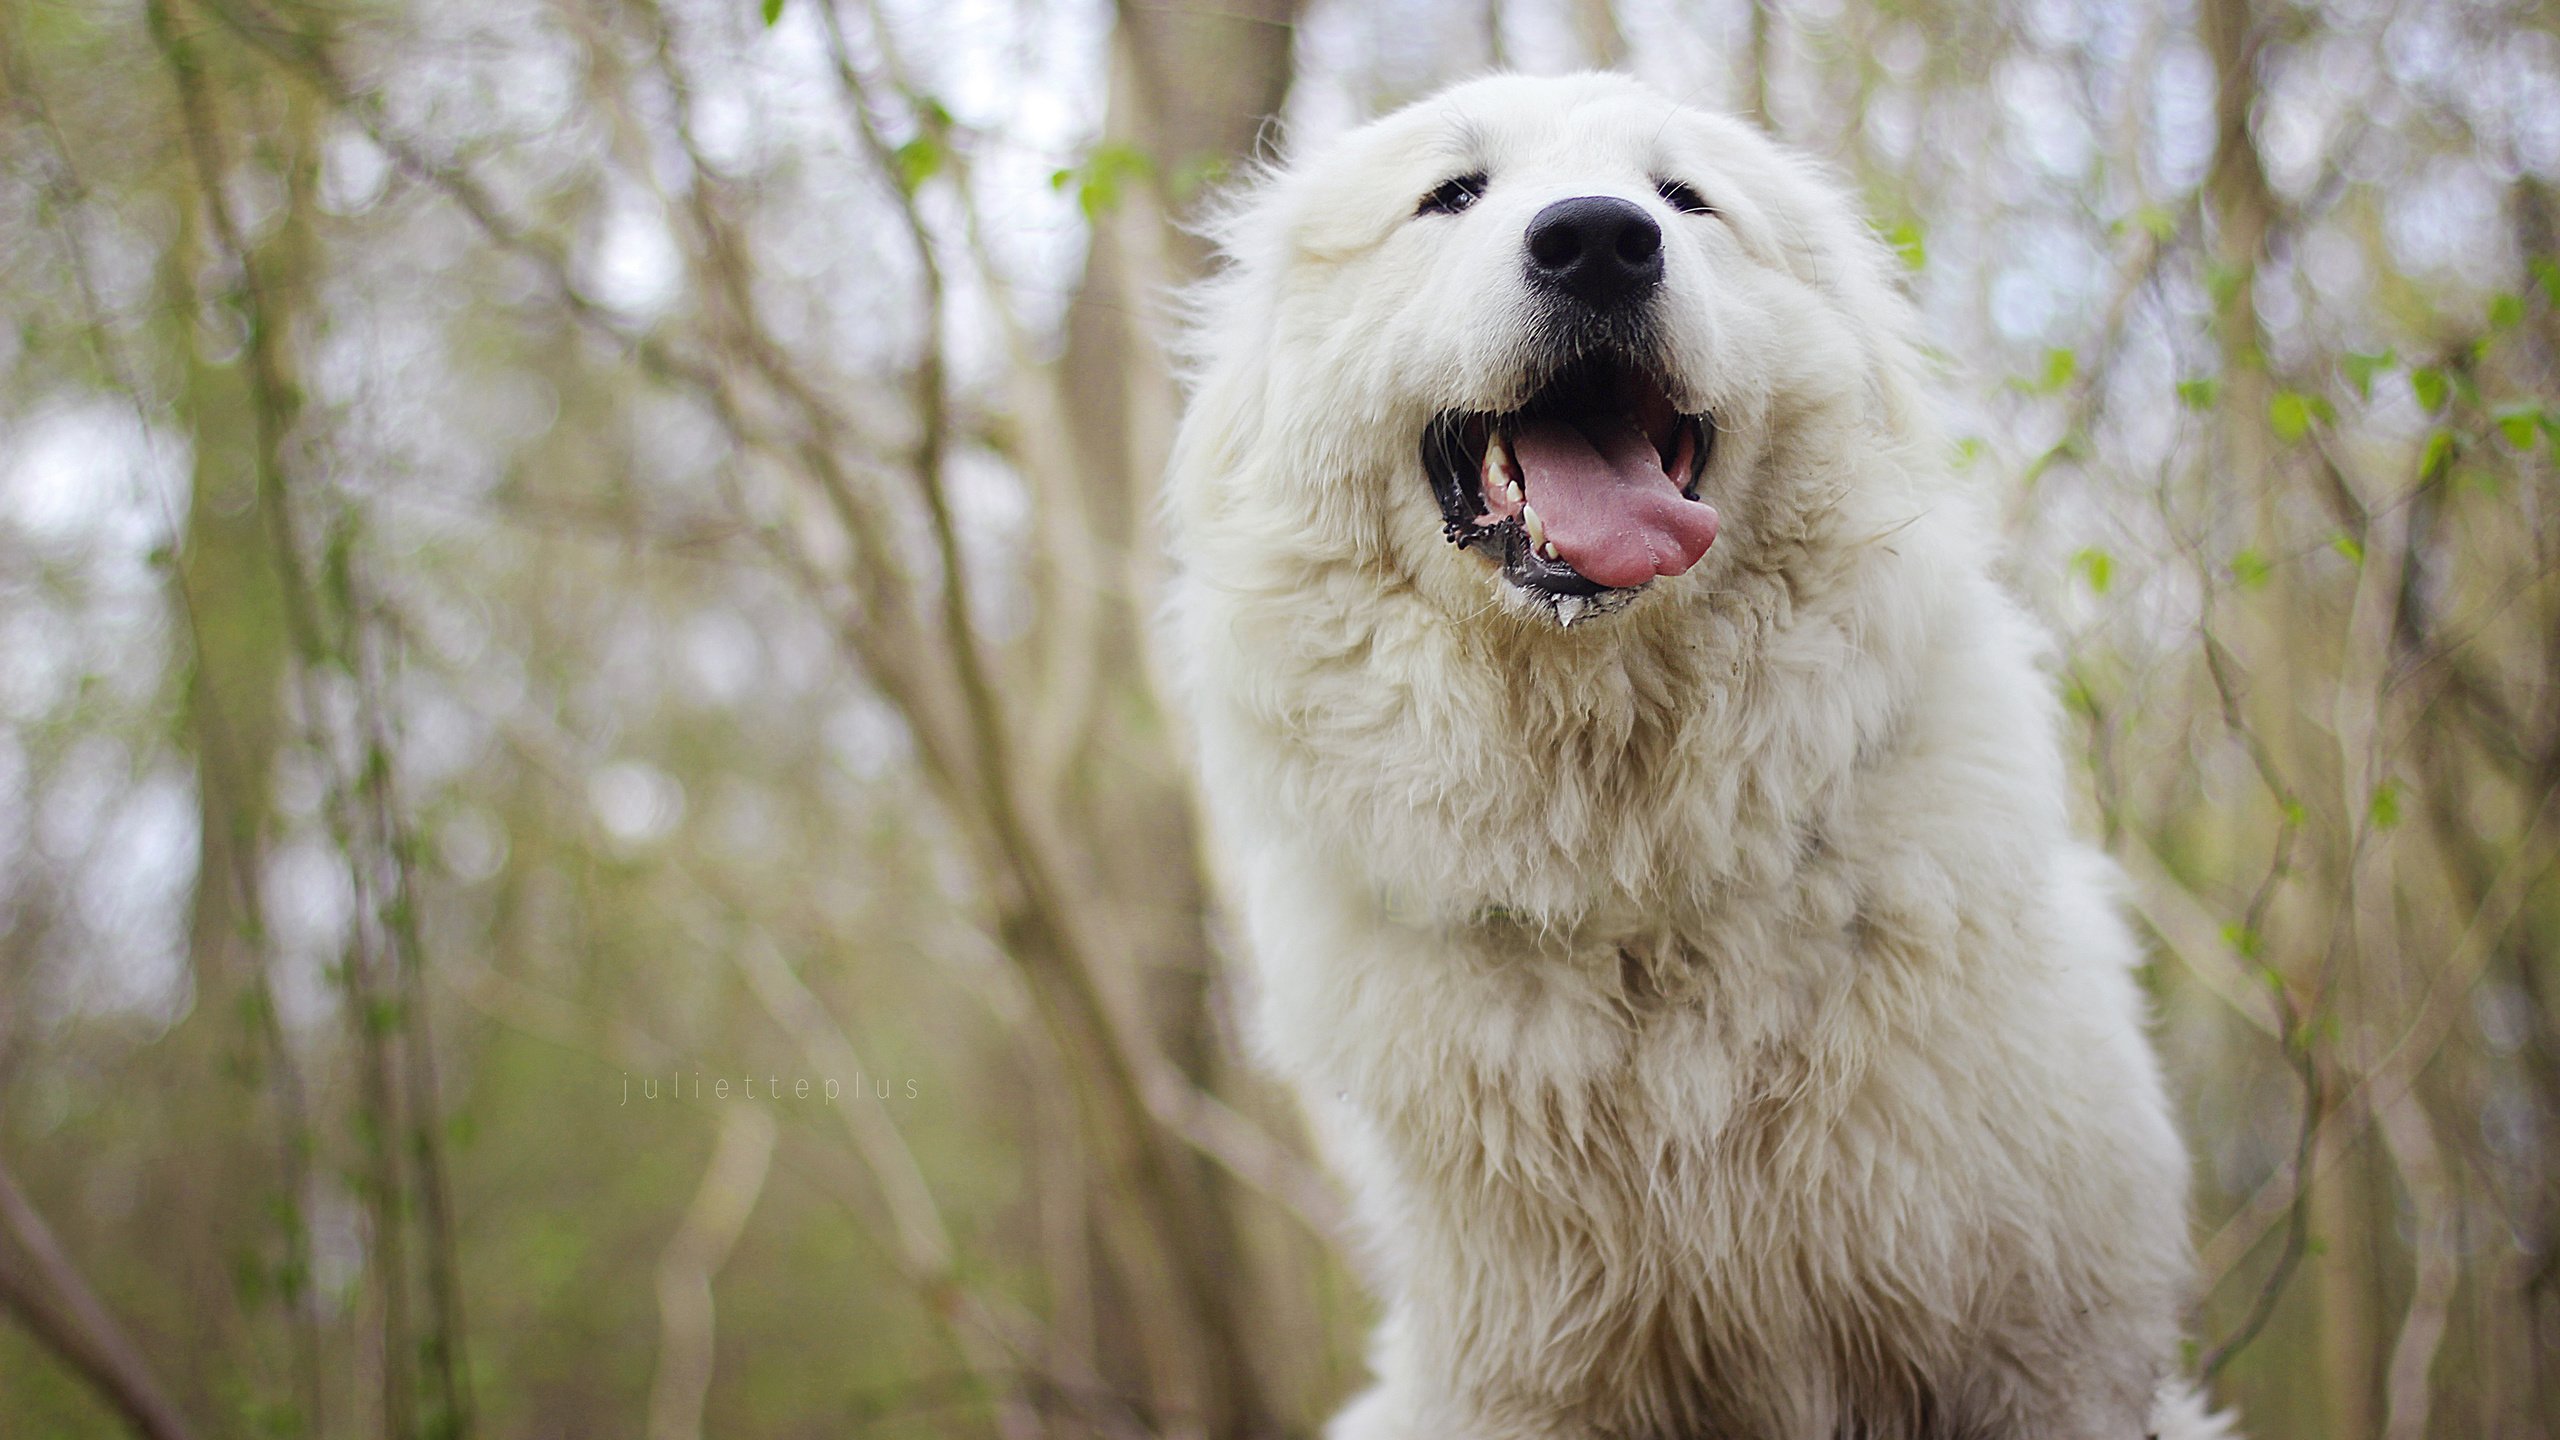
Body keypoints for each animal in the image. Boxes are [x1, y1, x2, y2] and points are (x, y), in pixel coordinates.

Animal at [1157, 73, 2222, 1424]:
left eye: (1683, 197)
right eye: (1451, 194)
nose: (1597, 241)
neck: (1634, 879)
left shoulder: (2043, 1353)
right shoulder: (1530, 1378)